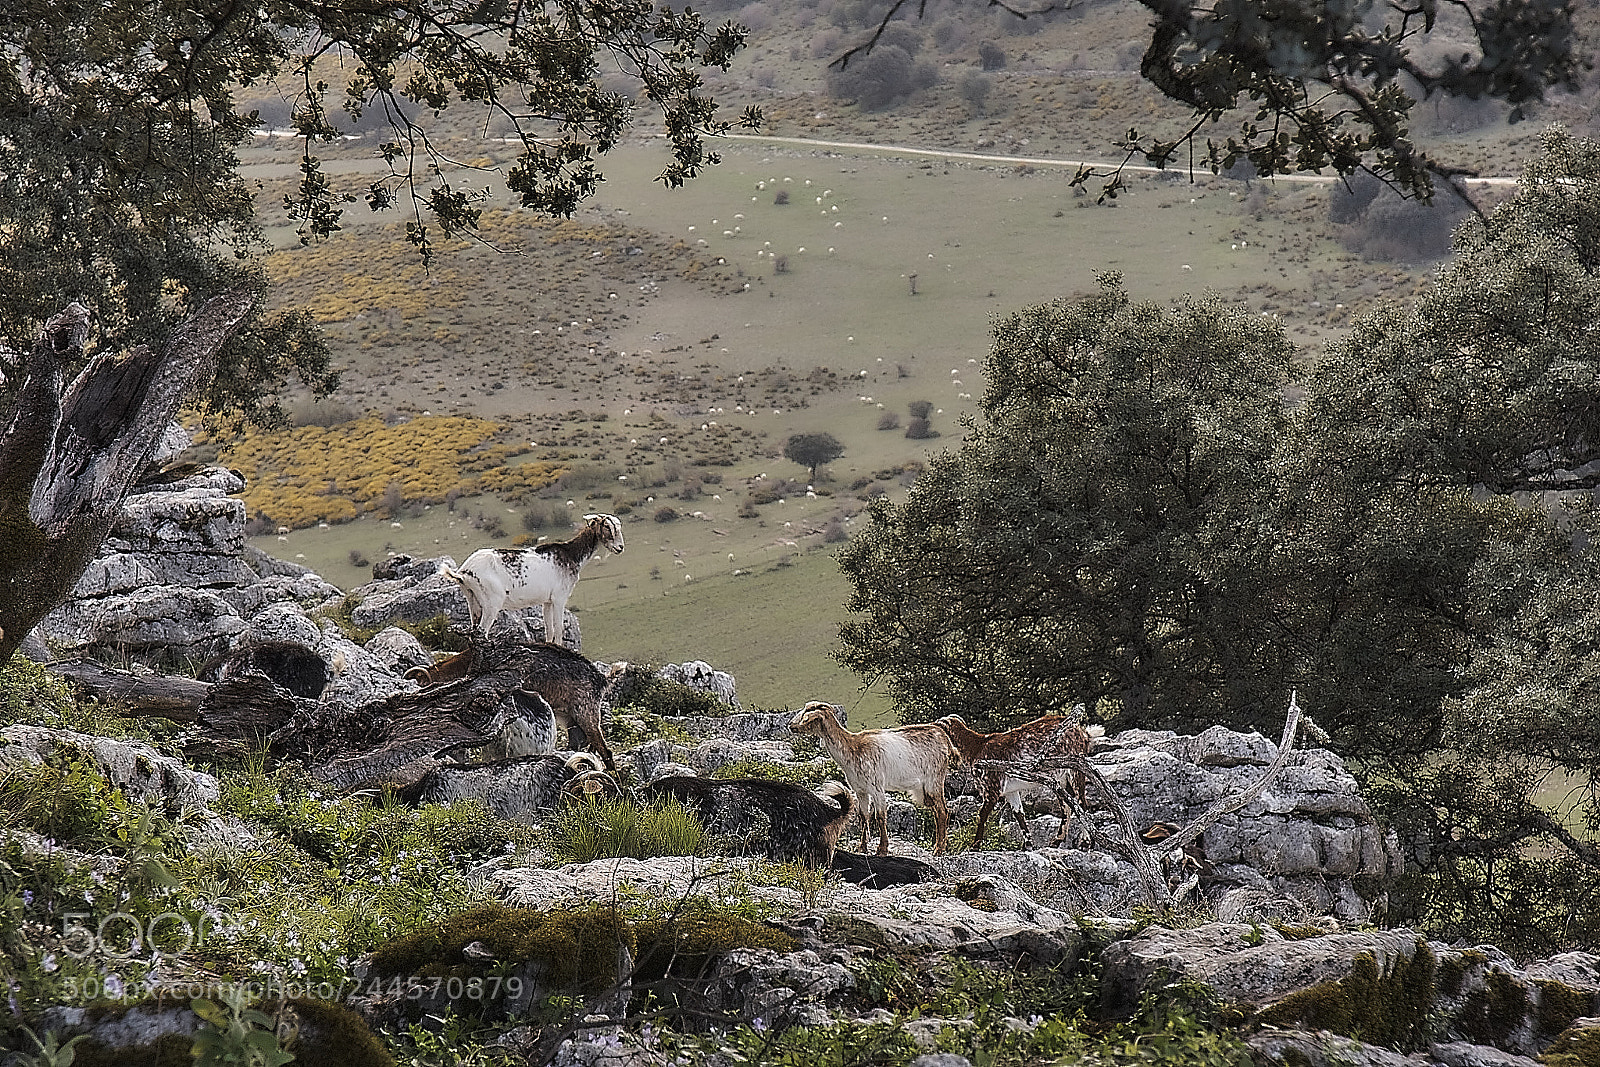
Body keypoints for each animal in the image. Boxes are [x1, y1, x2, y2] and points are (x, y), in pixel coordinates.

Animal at [442, 514, 624, 645]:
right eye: (607, 526)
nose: (620, 547)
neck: (570, 554)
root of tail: (464, 572)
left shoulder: (547, 601)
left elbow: (549, 629)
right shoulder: (559, 598)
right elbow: (559, 628)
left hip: (472, 600)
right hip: (491, 602)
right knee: (481, 631)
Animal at [789, 701, 954, 856]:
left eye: (807, 713)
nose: (791, 726)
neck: (853, 748)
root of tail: (942, 734)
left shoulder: (877, 787)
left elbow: (880, 816)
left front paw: (882, 849)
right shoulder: (860, 790)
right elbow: (864, 817)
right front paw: (862, 847)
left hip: (934, 780)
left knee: (942, 811)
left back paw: (938, 849)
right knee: (937, 811)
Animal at [936, 714, 1105, 849]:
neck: (977, 747)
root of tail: (1084, 733)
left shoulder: (991, 786)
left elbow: (982, 814)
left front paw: (975, 846)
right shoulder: (1011, 791)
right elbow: (1019, 814)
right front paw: (1028, 845)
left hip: (1076, 769)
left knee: (1081, 804)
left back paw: (1085, 843)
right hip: (1060, 779)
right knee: (1068, 806)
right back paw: (1057, 840)